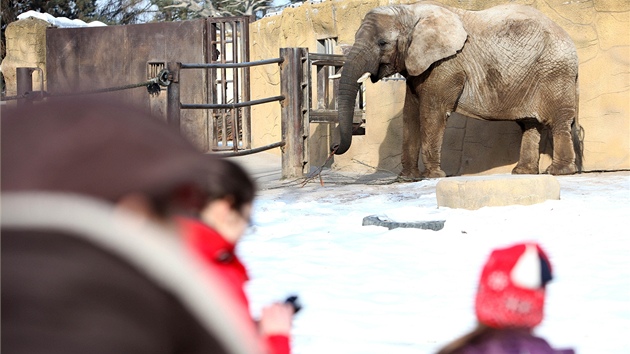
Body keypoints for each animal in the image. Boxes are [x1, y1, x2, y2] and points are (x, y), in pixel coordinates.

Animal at [338, 2, 584, 180]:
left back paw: (558, 172)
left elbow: (432, 114)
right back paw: (523, 173)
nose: (334, 148)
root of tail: (570, 42)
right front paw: (406, 178)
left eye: (382, 43)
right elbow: (410, 116)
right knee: (530, 124)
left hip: (555, 73)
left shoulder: (445, 65)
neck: (411, 10)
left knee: (559, 121)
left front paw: (433, 176)